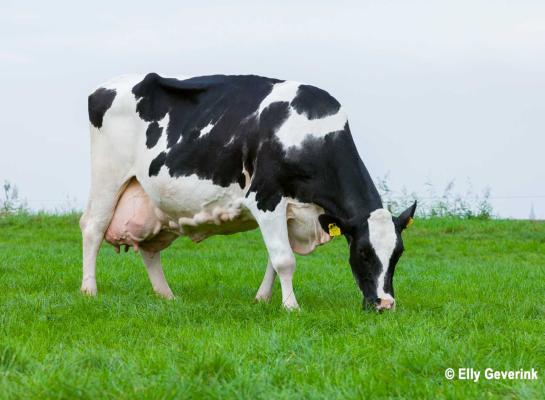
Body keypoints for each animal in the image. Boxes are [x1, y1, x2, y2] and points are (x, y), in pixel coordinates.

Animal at [81, 72, 414, 310]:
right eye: (364, 252)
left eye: (398, 253)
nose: (386, 304)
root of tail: (105, 87)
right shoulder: (265, 197)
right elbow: (284, 259)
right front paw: (291, 307)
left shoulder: (289, 210)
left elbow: (274, 258)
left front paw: (263, 299)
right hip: (108, 177)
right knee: (92, 228)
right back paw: (89, 290)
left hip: (154, 204)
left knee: (149, 249)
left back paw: (167, 296)